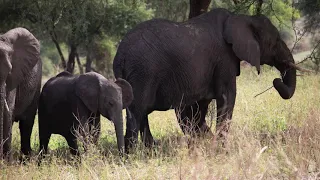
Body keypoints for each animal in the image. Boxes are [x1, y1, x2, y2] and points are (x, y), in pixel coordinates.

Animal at [114, 7, 304, 151]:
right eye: (276, 41)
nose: (276, 81)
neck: (239, 18)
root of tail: (120, 54)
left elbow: (195, 111)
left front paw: (203, 145)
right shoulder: (224, 59)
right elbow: (227, 97)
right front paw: (221, 150)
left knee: (140, 114)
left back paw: (145, 152)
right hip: (143, 73)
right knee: (136, 113)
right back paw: (132, 157)